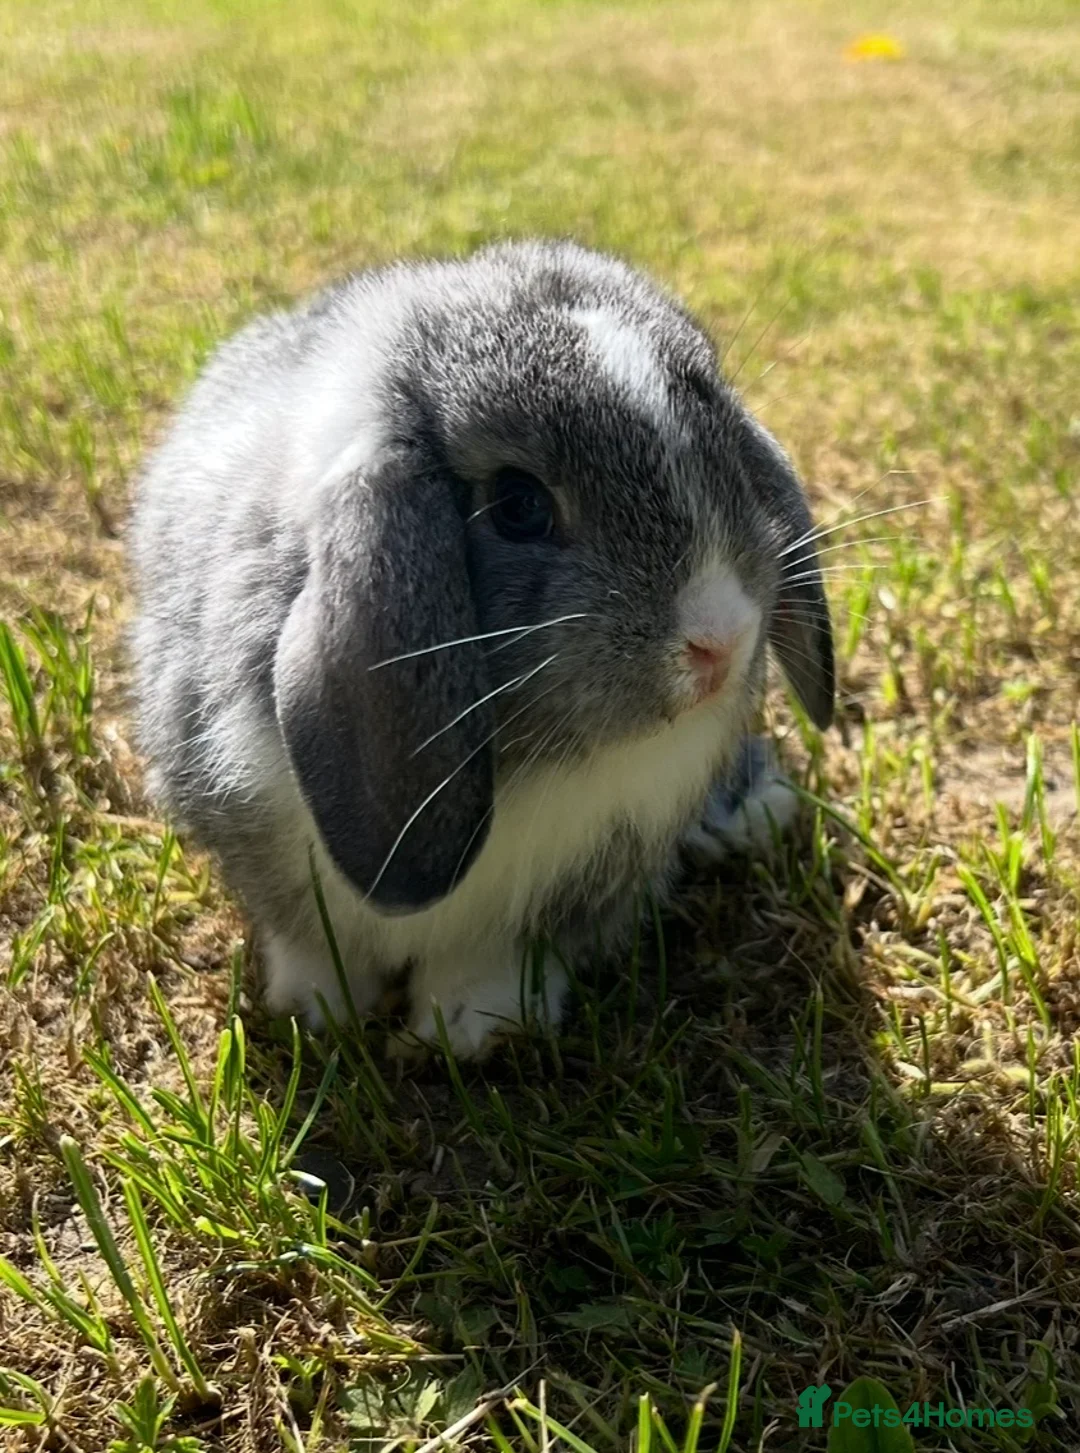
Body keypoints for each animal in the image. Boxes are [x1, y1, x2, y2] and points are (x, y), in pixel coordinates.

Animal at [130, 239, 833, 1059]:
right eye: (518, 505)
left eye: (722, 451)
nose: (722, 640)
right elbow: (307, 940)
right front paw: (318, 1007)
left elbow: (493, 956)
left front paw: (472, 1026)